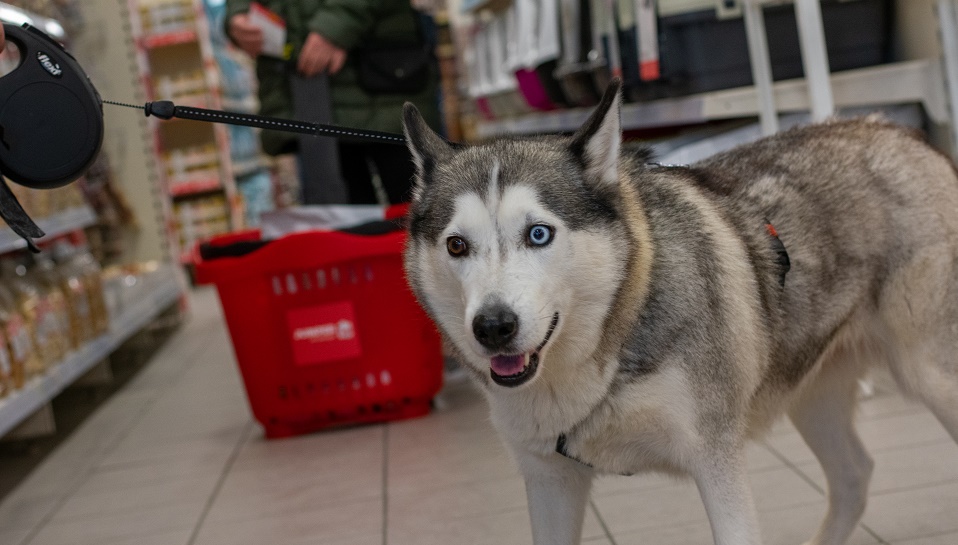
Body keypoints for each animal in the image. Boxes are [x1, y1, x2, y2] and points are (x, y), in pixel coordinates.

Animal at [398, 79, 958, 544]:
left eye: (538, 234)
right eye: (456, 245)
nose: (493, 327)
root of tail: (896, 129)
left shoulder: (716, 463)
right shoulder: (550, 482)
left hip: (930, 378)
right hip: (813, 396)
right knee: (854, 476)